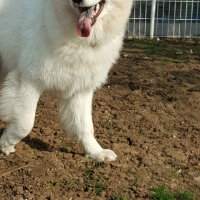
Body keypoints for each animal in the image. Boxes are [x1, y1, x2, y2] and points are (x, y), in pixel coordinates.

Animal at [0, 0, 133, 162]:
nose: (76, 0)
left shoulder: (80, 90)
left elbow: (86, 126)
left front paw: (96, 152)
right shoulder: (28, 80)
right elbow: (24, 124)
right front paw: (6, 144)